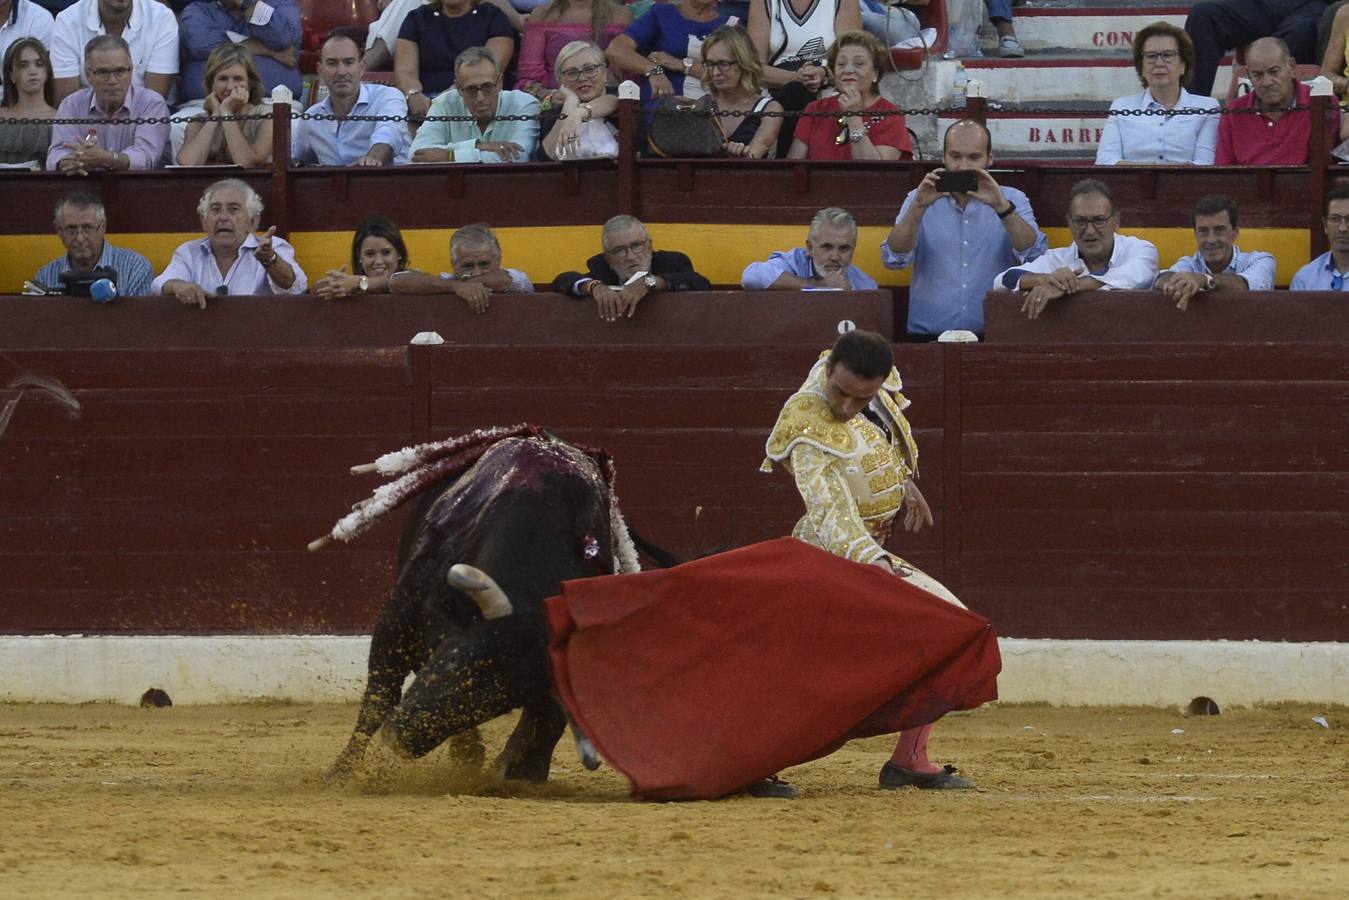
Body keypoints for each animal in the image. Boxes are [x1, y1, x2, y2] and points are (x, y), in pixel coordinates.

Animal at [329, 437, 617, 782]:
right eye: (454, 659)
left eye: (499, 705)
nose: (401, 737)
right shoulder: (399, 617)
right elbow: (379, 693)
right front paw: (343, 771)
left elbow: (547, 715)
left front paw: (521, 772)